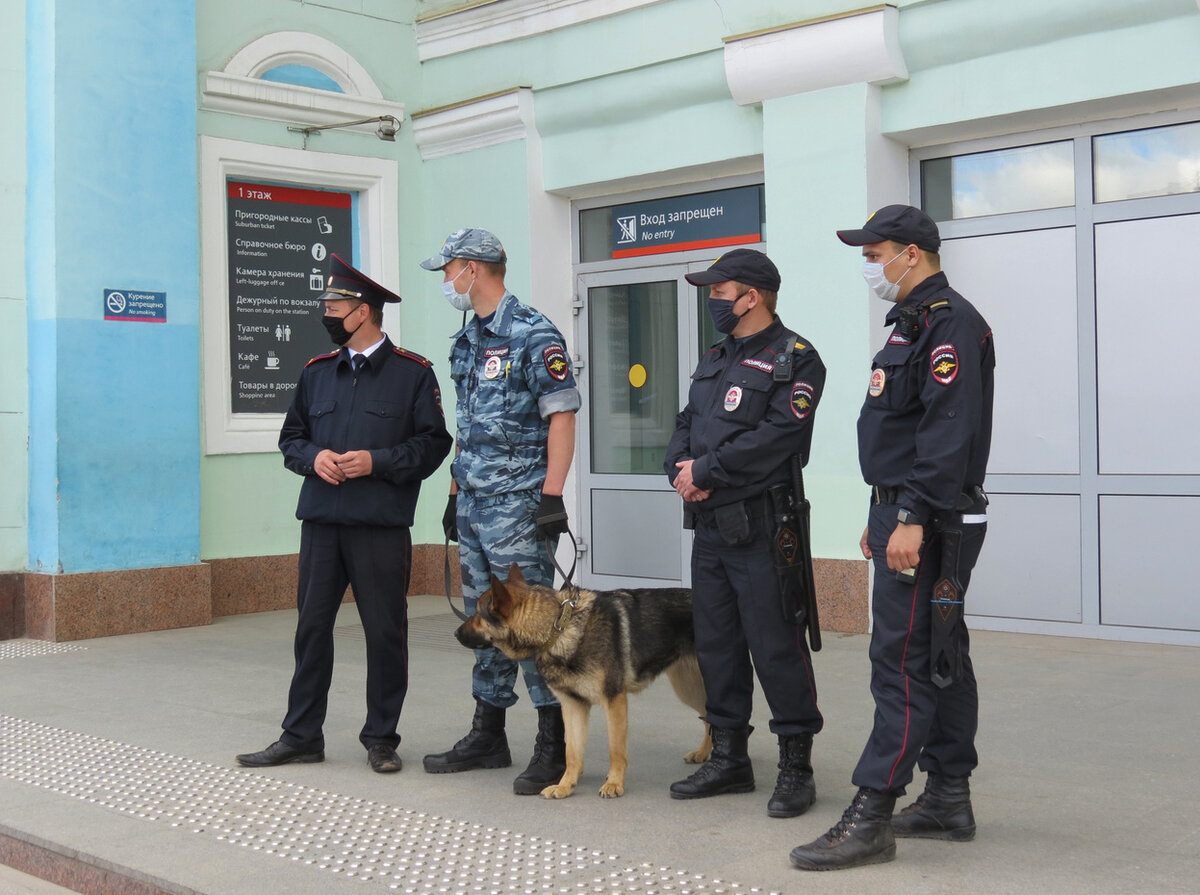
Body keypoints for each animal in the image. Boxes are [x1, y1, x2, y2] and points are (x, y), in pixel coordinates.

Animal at [453, 563, 705, 796]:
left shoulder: (614, 702)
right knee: (708, 718)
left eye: (478, 614)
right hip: (689, 688)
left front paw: (614, 783)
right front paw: (565, 785)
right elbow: (572, 753)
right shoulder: (573, 706)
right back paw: (703, 753)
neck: (557, 629)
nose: (455, 633)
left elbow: (615, 749)